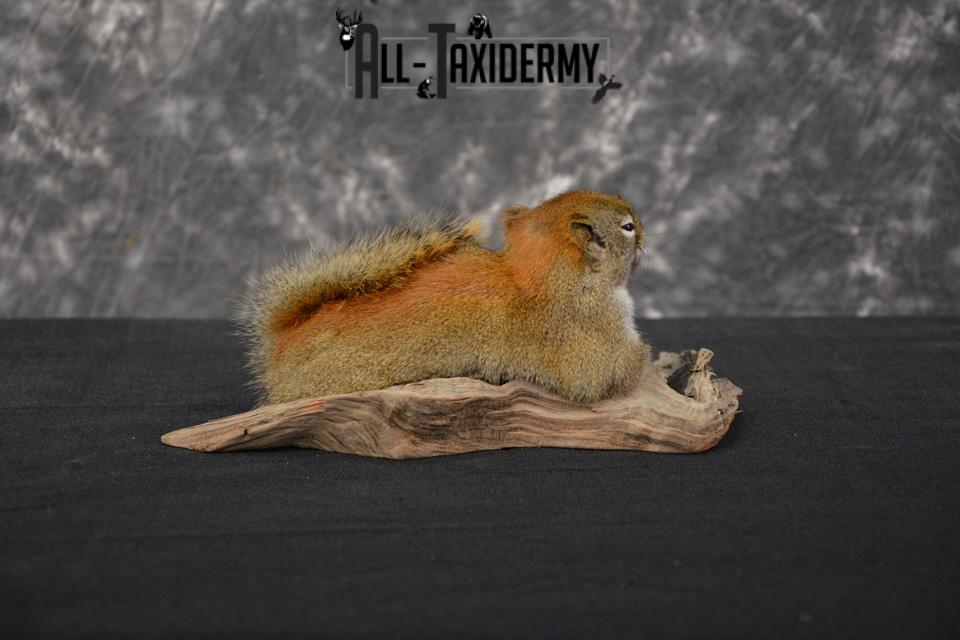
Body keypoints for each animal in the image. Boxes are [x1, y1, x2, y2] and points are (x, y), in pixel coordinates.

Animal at [240, 189, 651, 406]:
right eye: (627, 227)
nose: (644, 233)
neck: (547, 275)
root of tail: (282, 350)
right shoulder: (590, 346)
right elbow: (621, 371)